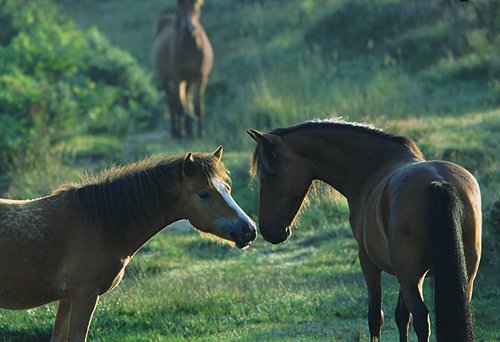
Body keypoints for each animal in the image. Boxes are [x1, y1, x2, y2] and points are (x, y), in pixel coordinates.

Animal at [0, 147, 256, 342]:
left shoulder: (67, 298)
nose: (249, 229)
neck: (99, 224)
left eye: (227, 188)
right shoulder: (84, 295)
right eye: (204, 194)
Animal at [151, 0, 212, 139]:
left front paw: (201, 134)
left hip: (188, 81)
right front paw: (179, 135)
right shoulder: (177, 78)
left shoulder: (201, 77)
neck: (189, 48)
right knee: (172, 103)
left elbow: (198, 107)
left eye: (196, 8)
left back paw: (188, 130)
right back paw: (175, 131)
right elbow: (179, 107)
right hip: (165, 79)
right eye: (179, 8)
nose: (189, 29)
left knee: (185, 100)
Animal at [248, 121, 482, 342]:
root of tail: (439, 183)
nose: (268, 230)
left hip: (411, 277)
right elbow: (401, 316)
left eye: (270, 172)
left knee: (421, 319)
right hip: (460, 277)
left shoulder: (369, 262)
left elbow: (376, 316)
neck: (372, 168)